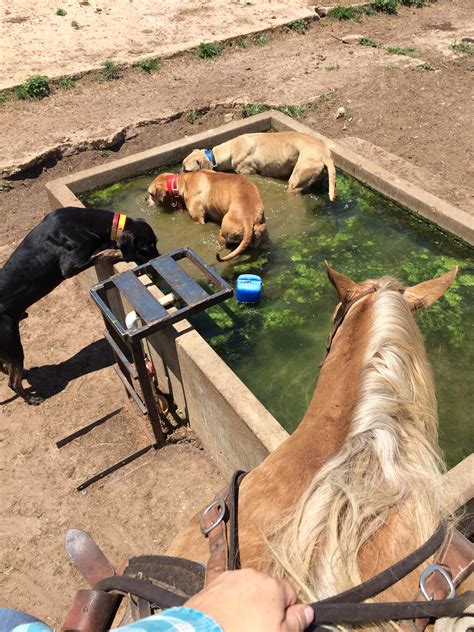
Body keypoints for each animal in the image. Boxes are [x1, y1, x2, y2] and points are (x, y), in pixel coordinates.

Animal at [0, 207, 159, 404]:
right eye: (147, 248)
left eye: (156, 243)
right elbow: (105, 252)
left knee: (7, 369)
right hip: (13, 345)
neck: (86, 223)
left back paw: (25, 374)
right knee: (12, 382)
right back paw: (31, 399)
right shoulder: (69, 266)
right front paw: (119, 253)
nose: (158, 259)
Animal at [181, 132, 336, 201]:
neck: (231, 148)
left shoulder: (248, 172)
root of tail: (325, 154)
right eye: (181, 165)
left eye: (186, 170)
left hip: (296, 181)